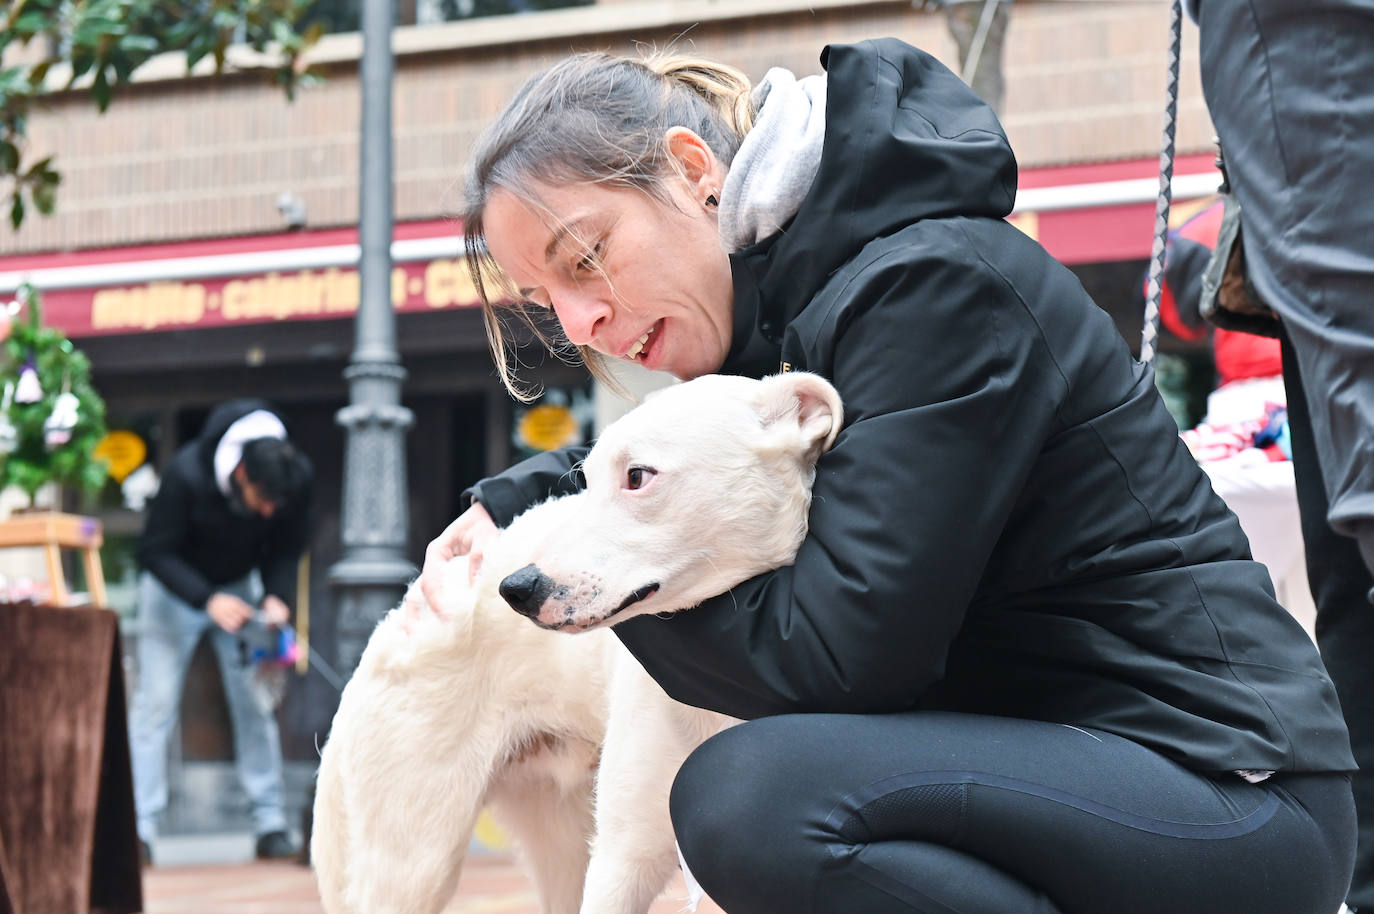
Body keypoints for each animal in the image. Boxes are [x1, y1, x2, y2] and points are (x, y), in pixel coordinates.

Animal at [313, 371, 840, 912]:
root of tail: (395, 614)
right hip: (413, 860)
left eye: (637, 476)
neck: (730, 680)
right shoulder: (622, 859)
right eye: (584, 480)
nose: (515, 588)